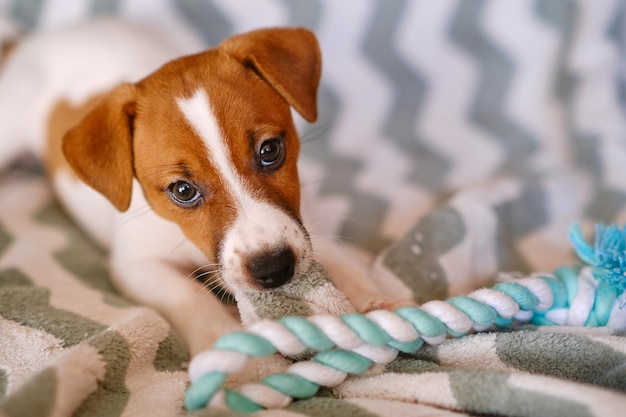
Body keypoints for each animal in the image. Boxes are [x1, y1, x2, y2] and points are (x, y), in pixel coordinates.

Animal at [0, 17, 402, 352]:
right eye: (183, 191)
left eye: (270, 151)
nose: (273, 269)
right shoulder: (137, 264)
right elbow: (187, 294)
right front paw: (221, 339)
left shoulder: (303, 227)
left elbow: (342, 261)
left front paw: (375, 302)